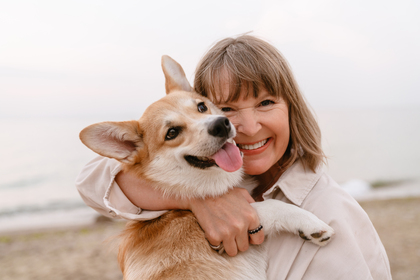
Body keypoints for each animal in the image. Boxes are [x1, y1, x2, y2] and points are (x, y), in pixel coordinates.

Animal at [79, 55, 334, 278]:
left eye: (201, 107)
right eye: (172, 133)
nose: (221, 124)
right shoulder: (240, 217)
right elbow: (271, 206)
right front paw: (312, 224)